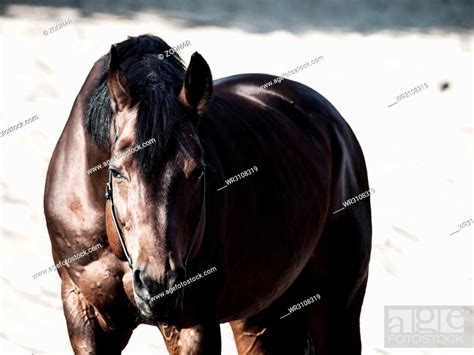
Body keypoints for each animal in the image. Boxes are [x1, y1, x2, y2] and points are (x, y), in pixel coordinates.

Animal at [43, 34, 370, 355]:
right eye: (117, 171)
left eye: (198, 171)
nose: (159, 286)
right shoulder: (85, 313)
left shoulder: (194, 324)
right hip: (259, 316)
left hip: (337, 307)